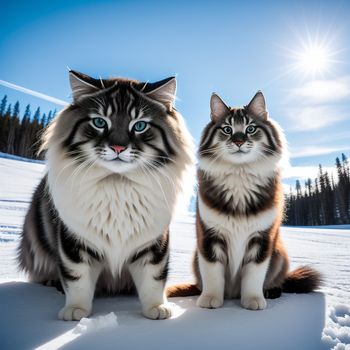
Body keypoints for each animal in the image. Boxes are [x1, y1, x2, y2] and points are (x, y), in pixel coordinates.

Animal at [17, 70, 194, 320]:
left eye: (139, 125)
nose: (118, 148)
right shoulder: (74, 241)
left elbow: (153, 278)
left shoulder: (153, 243)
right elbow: (77, 279)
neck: (117, 184)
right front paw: (76, 312)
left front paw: (157, 309)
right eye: (100, 122)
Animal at [168, 91, 322, 310]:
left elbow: (254, 275)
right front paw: (210, 299)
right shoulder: (209, 236)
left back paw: (270, 292)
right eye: (227, 129)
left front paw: (253, 300)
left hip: (280, 253)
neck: (239, 174)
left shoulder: (262, 238)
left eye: (251, 128)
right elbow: (212, 273)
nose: (239, 141)